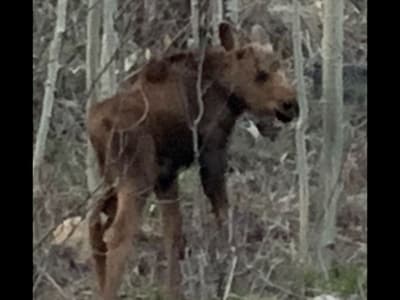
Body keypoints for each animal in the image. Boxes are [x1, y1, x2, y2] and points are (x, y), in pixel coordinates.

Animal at [88, 22, 300, 300]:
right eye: (261, 73)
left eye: (280, 65)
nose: (291, 105)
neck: (227, 92)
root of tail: (94, 126)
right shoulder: (212, 151)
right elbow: (223, 216)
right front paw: (232, 272)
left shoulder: (167, 174)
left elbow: (174, 235)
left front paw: (175, 291)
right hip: (136, 177)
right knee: (117, 233)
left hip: (113, 179)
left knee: (94, 224)